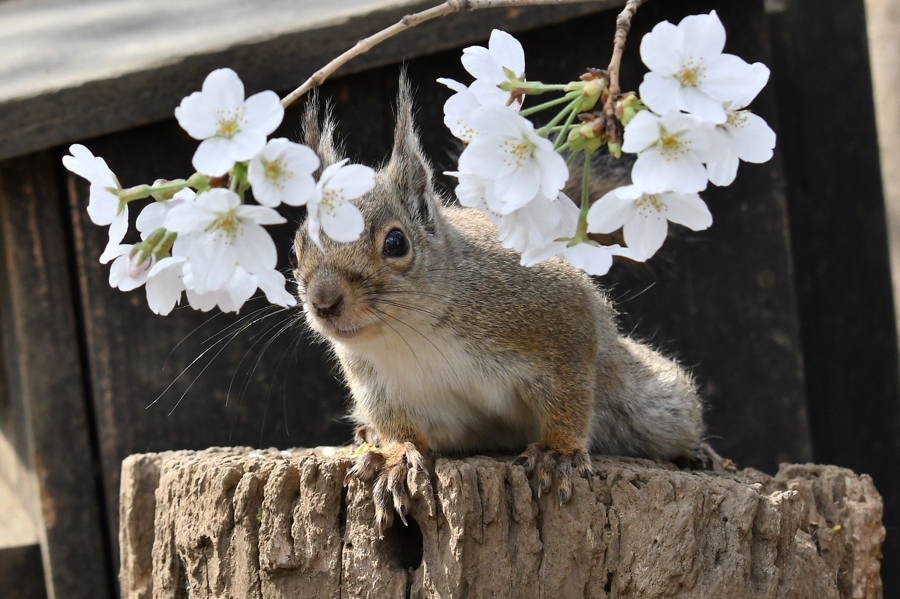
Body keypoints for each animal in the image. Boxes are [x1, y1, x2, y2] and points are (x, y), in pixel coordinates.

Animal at [294, 77, 724, 532]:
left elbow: (570, 392)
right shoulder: (376, 385)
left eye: (396, 242)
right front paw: (394, 457)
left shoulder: (561, 321)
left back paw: (699, 453)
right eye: (297, 248)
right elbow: (398, 427)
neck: (412, 331)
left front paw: (557, 452)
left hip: (650, 403)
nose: (324, 301)